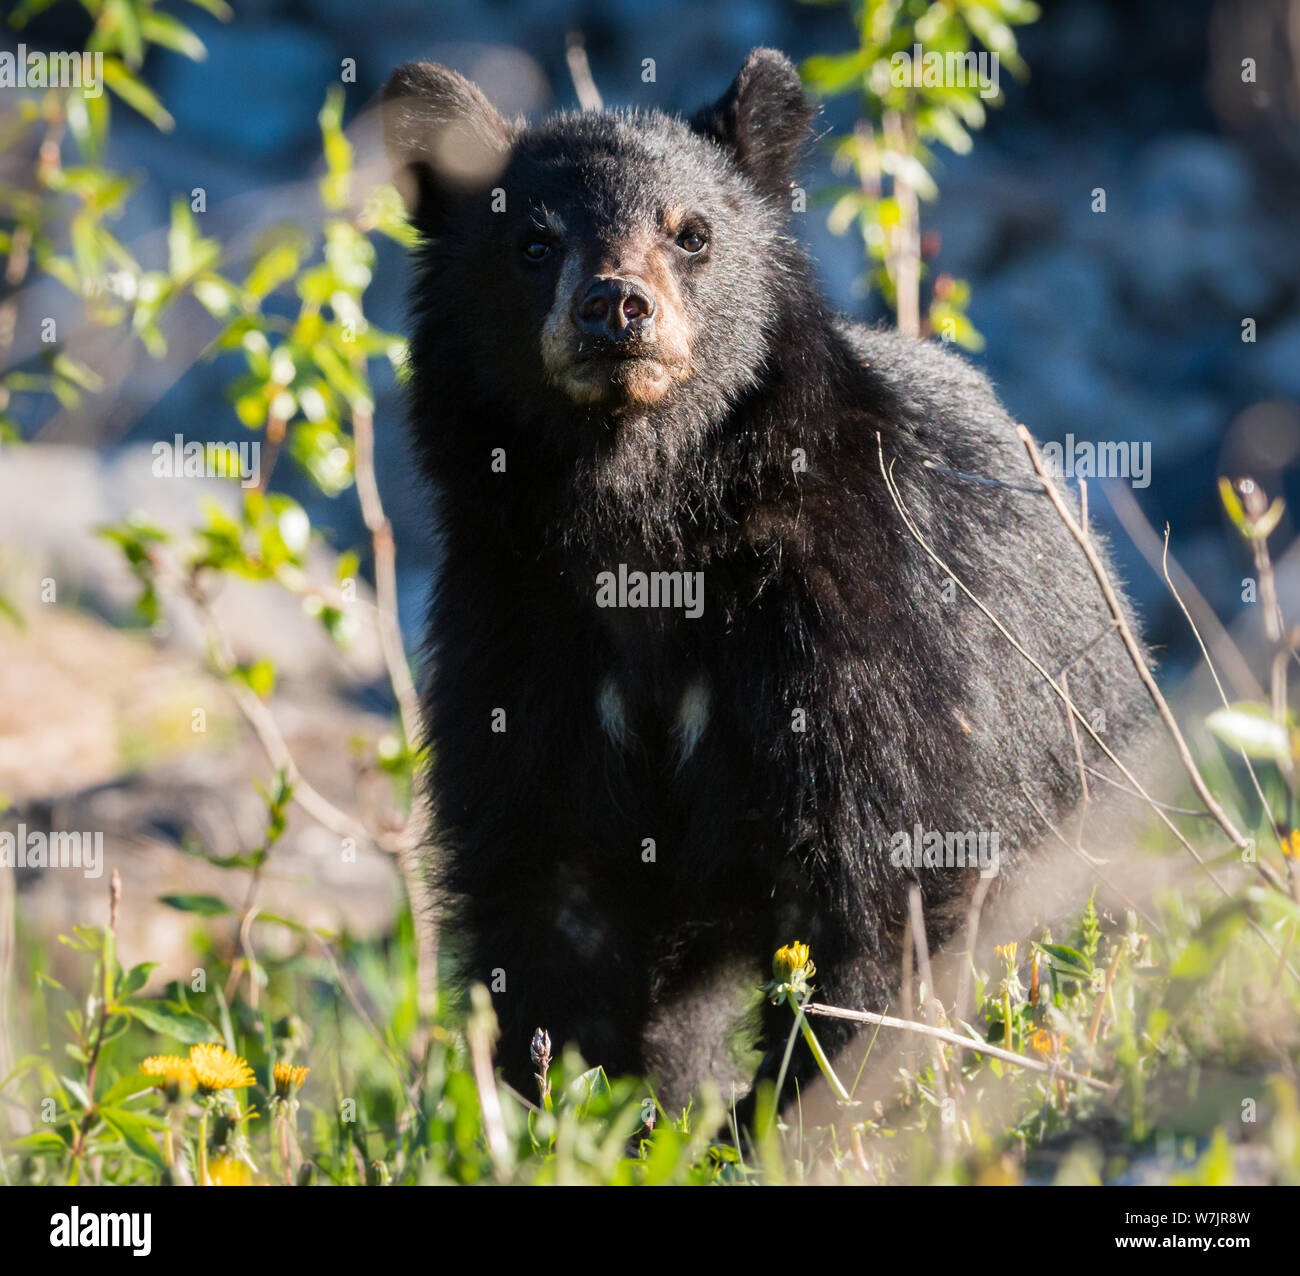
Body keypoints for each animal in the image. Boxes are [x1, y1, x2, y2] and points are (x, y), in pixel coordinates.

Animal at [380, 48, 1152, 1120]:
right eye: (534, 243)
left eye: (692, 233)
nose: (615, 307)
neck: (643, 520)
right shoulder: (518, 631)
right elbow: (548, 891)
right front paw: (580, 1110)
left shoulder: (845, 622)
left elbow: (879, 875)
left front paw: (805, 1114)